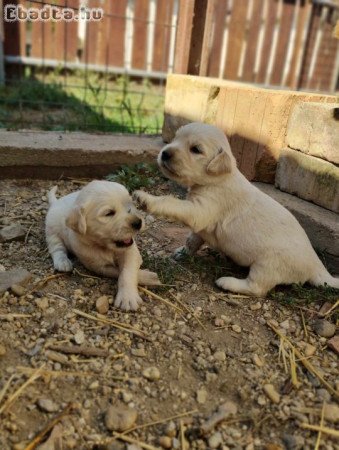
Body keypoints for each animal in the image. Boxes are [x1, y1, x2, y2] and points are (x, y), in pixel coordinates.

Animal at [45, 179, 160, 310]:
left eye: (129, 209)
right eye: (109, 213)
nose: (138, 223)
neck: (105, 247)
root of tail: (56, 202)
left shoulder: (130, 251)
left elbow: (126, 271)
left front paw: (128, 297)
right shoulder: (98, 266)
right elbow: (118, 272)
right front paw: (150, 277)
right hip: (51, 230)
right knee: (56, 248)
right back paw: (62, 262)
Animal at [134, 123, 338, 298]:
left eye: (196, 149)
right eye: (176, 138)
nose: (165, 153)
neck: (217, 179)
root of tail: (317, 267)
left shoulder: (201, 210)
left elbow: (171, 203)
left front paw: (146, 199)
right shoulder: (202, 225)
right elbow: (193, 239)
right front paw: (183, 252)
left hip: (268, 265)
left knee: (257, 288)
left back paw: (228, 282)